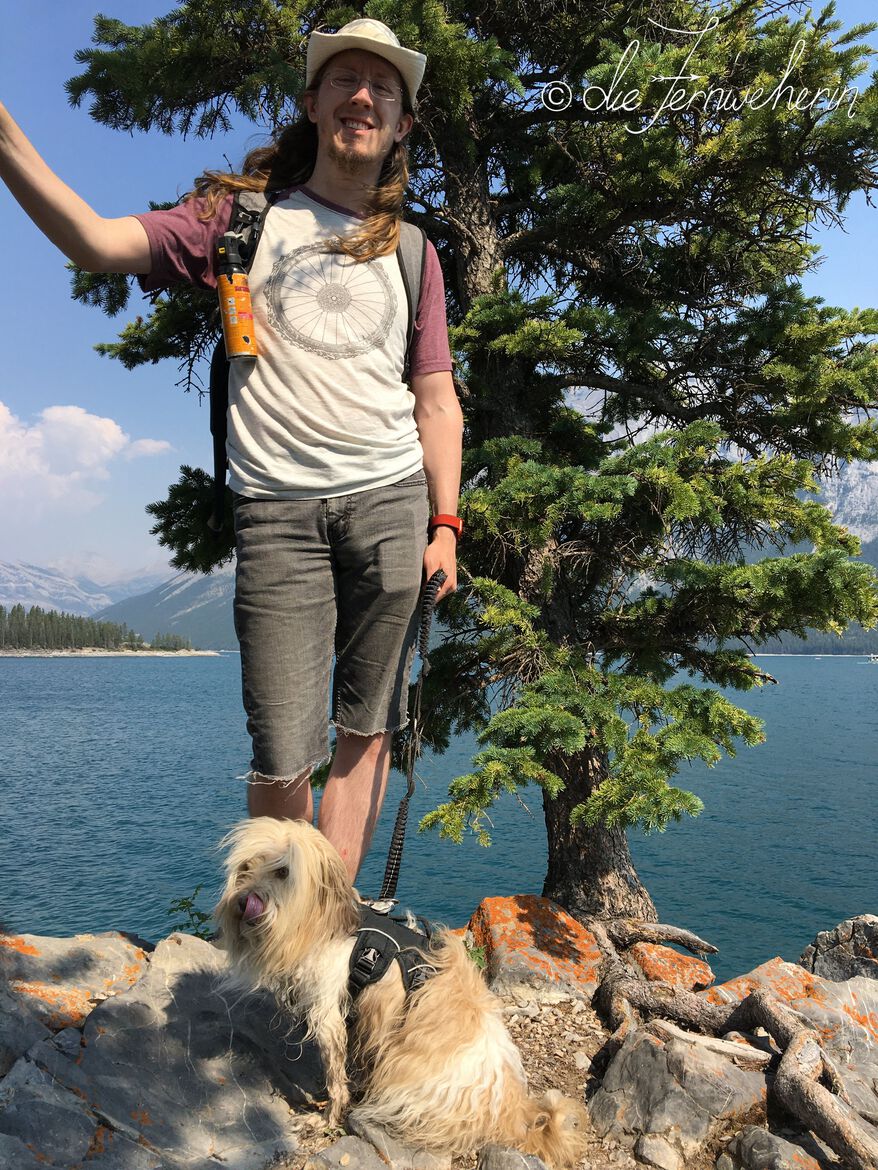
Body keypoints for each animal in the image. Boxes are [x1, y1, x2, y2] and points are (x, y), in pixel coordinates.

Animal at [217, 819, 592, 1165]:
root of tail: (512, 1114)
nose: (243, 902)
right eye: (246, 867)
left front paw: (326, 1117)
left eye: (282, 872)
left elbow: (335, 1078)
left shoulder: (328, 1017)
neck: (327, 923)